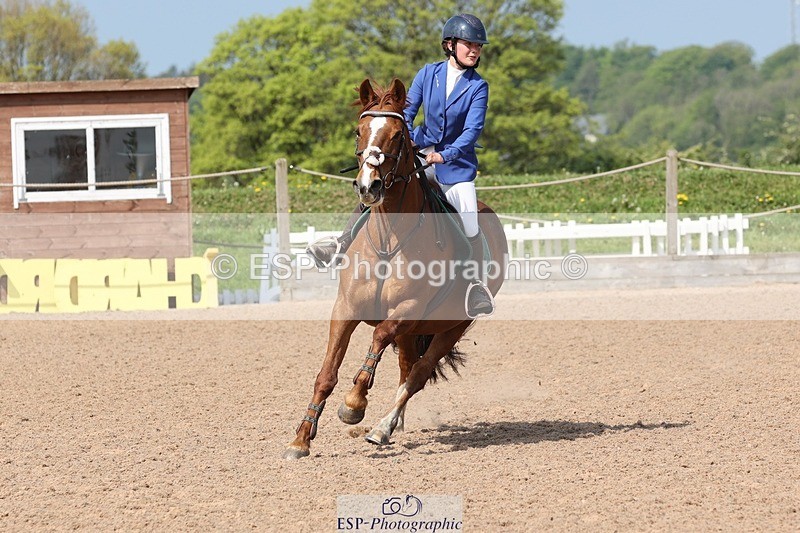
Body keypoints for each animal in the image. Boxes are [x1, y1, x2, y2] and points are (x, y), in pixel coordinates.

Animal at [283, 78, 508, 459]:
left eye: (397, 135)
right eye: (359, 132)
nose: (368, 186)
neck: (389, 239)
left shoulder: (406, 310)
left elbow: (377, 340)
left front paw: (354, 405)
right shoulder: (345, 309)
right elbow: (326, 374)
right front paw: (300, 439)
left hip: (452, 326)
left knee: (417, 375)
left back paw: (382, 428)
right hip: (413, 331)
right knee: (406, 369)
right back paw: (391, 424)